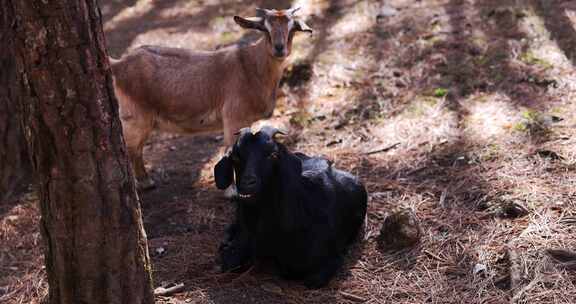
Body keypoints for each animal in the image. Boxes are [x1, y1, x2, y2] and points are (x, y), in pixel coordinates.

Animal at [110, 8, 312, 189]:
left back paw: (146, 182)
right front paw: (232, 191)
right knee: (130, 148)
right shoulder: (233, 117)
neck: (250, 67)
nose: (279, 48)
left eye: (292, 28)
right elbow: (230, 149)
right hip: (135, 117)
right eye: (265, 28)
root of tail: (118, 65)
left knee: (136, 150)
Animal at [214, 125, 366, 288]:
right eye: (236, 157)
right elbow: (229, 262)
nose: (247, 183)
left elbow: (311, 279)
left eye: (273, 155)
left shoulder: (330, 259)